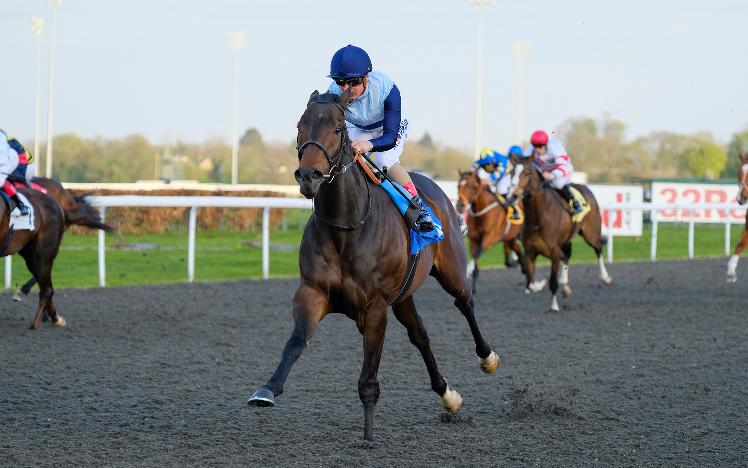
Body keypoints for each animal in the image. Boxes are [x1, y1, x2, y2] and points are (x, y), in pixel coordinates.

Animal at [0, 186, 68, 330]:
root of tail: (57, 205)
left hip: (43, 255)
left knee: (46, 289)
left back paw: (37, 323)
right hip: (30, 256)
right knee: (46, 287)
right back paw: (54, 319)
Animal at [248, 89, 500, 440]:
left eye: (338, 129)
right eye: (300, 126)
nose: (309, 176)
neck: (345, 227)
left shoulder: (375, 307)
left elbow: (368, 377)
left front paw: (368, 436)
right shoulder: (313, 292)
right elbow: (296, 342)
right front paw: (267, 389)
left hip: (451, 271)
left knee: (465, 303)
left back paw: (487, 358)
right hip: (405, 294)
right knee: (420, 335)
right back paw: (448, 396)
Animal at [506, 155, 612, 312]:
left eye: (527, 173)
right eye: (512, 172)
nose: (513, 195)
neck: (538, 218)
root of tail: (586, 187)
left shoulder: (554, 254)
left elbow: (552, 282)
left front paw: (554, 306)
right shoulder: (530, 252)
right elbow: (531, 284)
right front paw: (540, 284)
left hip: (591, 233)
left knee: (598, 249)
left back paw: (605, 277)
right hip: (567, 239)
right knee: (567, 255)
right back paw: (565, 285)